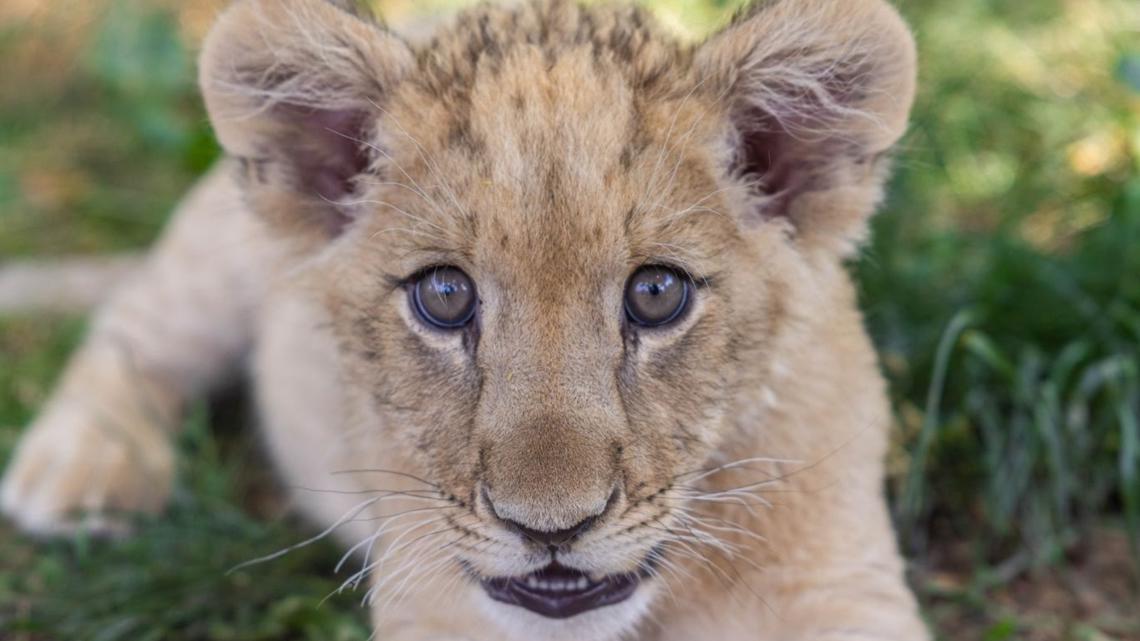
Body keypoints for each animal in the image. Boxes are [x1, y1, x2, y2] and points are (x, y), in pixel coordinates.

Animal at [0, 0, 927, 639]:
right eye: (444, 297)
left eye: (657, 294)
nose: (551, 528)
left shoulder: (842, 584)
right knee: (137, 321)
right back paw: (82, 471)